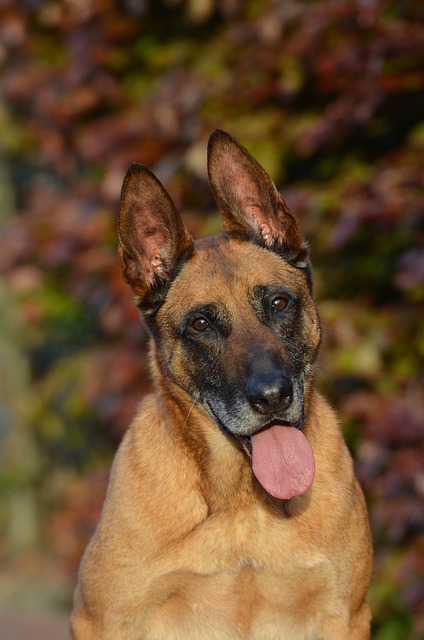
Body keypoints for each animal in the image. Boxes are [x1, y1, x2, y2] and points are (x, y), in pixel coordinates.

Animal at [71, 127, 372, 636]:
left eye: (278, 303)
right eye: (201, 325)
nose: (273, 398)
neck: (242, 505)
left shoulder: (345, 616)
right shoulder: (105, 620)